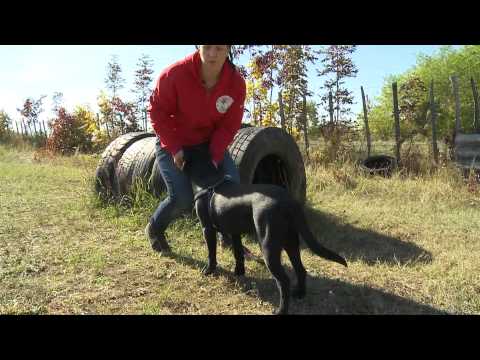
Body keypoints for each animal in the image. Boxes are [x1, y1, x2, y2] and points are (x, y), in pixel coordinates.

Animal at [182, 143, 346, 316]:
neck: (208, 180)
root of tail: (288, 200)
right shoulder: (234, 232)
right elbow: (238, 253)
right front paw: (239, 272)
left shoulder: (207, 228)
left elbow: (211, 254)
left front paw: (208, 270)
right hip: (290, 242)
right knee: (301, 269)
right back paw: (299, 293)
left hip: (268, 247)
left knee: (284, 281)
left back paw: (280, 310)